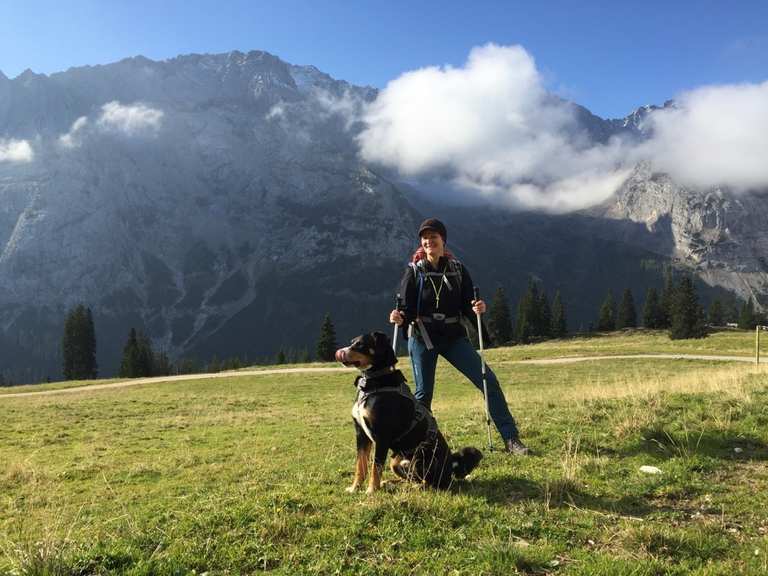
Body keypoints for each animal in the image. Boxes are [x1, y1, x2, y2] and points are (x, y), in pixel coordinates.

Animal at [334, 330, 484, 492]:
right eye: (353, 342)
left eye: (360, 344)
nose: (340, 352)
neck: (373, 382)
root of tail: (451, 464)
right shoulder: (361, 434)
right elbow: (360, 465)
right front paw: (354, 488)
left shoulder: (381, 437)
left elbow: (375, 467)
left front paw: (371, 490)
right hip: (396, 460)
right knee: (410, 478)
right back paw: (390, 483)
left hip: (419, 458)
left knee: (429, 483)